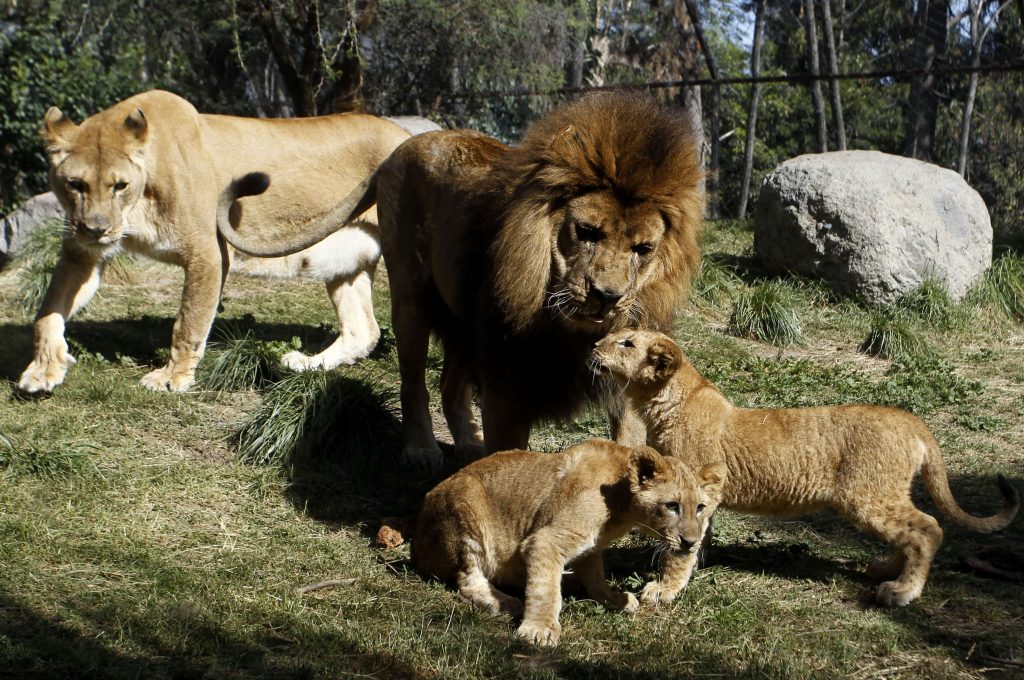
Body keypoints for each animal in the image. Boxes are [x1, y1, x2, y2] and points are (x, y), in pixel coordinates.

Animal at [17, 89, 411, 394]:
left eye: (119, 185)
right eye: (75, 184)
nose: (96, 229)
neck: (137, 207)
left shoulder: (209, 253)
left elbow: (188, 321)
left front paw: (172, 378)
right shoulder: (80, 253)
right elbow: (48, 312)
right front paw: (43, 368)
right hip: (346, 258)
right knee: (363, 331)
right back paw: (303, 363)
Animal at [411, 438, 726, 646]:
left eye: (700, 507)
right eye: (672, 506)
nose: (690, 542)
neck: (621, 505)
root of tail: (416, 546)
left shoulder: (591, 545)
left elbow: (595, 574)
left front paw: (614, 598)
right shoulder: (544, 540)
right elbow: (545, 590)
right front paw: (538, 630)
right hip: (467, 509)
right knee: (468, 580)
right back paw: (507, 603)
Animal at [591, 329, 1020, 607]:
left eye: (626, 343)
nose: (593, 346)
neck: (666, 399)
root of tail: (911, 419)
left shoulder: (697, 488)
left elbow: (679, 551)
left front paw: (663, 590)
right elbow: (697, 536)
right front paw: (699, 559)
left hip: (866, 495)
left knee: (927, 527)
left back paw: (901, 591)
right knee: (911, 532)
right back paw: (884, 570)